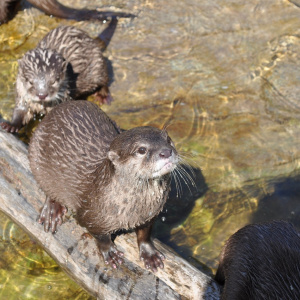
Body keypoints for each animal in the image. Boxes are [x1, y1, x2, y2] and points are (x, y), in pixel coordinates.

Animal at [28, 101, 178, 272]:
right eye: (141, 149)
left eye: (168, 139)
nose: (166, 151)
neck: (134, 209)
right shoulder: (90, 216)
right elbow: (100, 236)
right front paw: (110, 252)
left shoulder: (150, 215)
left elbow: (145, 234)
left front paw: (149, 254)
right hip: (36, 155)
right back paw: (52, 210)